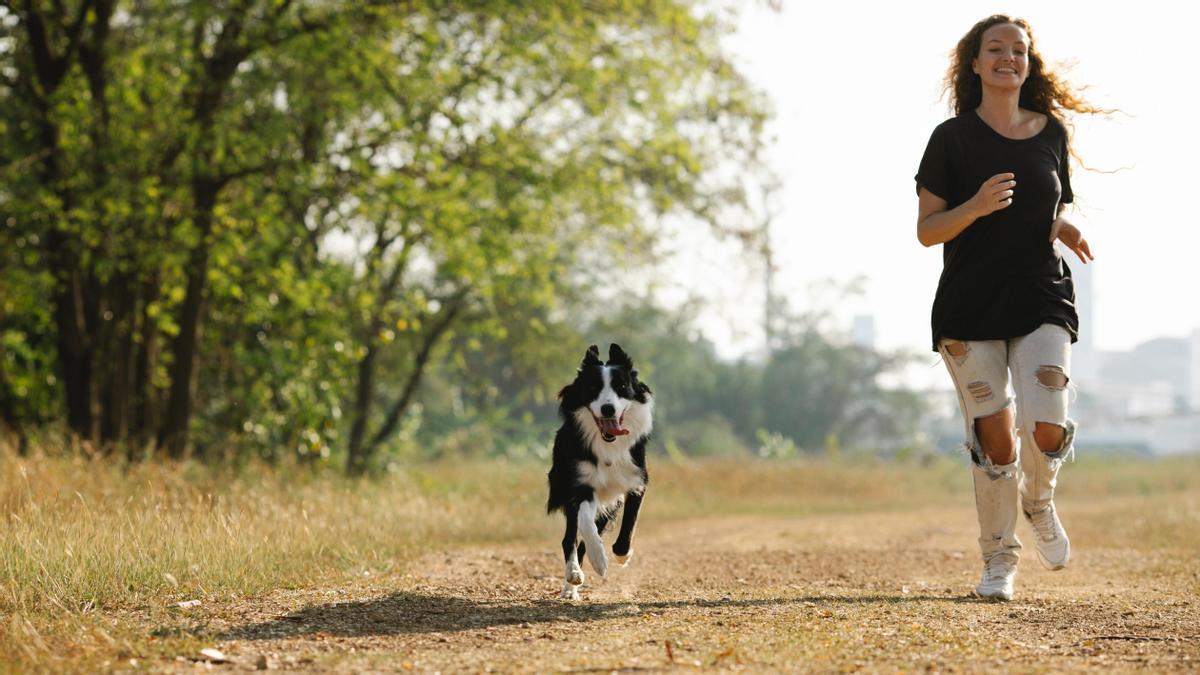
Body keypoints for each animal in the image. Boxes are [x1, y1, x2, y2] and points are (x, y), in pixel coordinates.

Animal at [549, 343, 652, 595]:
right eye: (593, 388)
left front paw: (623, 555)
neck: (608, 446)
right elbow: (586, 524)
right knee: (570, 538)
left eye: (622, 387)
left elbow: (629, 524)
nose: (608, 409)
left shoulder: (636, 481)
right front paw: (599, 561)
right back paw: (573, 578)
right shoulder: (581, 484)